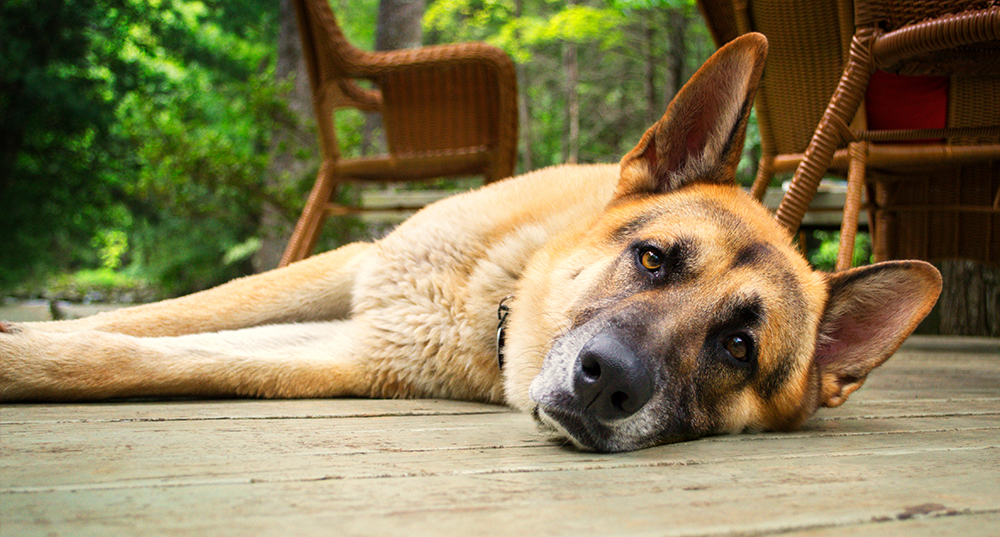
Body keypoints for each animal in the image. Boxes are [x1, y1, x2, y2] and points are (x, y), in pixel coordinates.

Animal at [0, 34, 936, 452]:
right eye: (653, 258)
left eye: (739, 346)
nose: (607, 383)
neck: (493, 295)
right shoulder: (350, 267)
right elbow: (157, 316)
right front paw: (36, 329)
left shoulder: (347, 349)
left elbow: (135, 358)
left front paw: (26, 355)